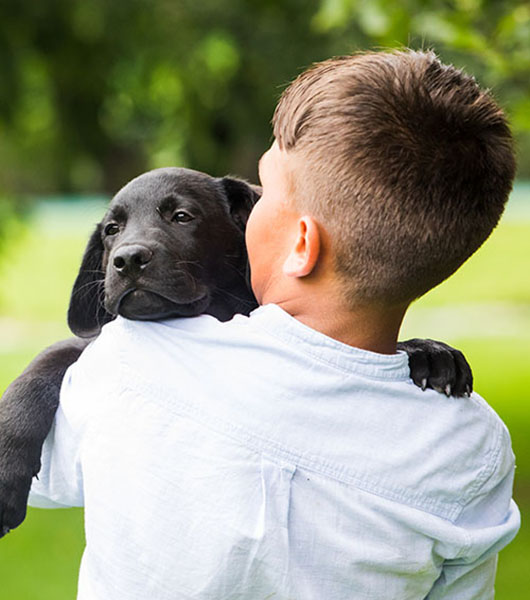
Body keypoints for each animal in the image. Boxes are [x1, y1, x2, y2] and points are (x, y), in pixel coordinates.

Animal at [0, 166, 470, 536]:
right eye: (112, 230)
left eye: (182, 217)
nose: (128, 260)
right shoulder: (89, 343)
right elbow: (37, 373)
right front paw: (6, 472)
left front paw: (432, 352)